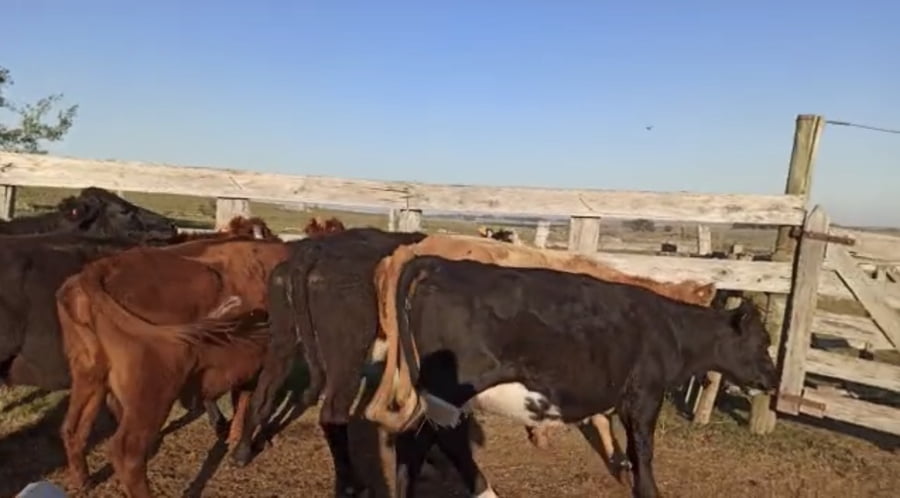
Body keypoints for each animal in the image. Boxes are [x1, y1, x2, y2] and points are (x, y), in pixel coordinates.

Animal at [55, 235, 290, 498]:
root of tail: (97, 269)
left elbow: (243, 398)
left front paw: (233, 436)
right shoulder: (277, 358)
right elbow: (258, 403)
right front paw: (244, 449)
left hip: (90, 376)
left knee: (73, 429)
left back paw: (83, 482)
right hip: (155, 388)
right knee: (127, 451)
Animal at [376, 255, 778, 498]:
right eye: (763, 341)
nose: (773, 381)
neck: (668, 328)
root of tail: (442, 264)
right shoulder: (645, 396)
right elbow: (644, 449)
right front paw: (648, 489)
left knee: (413, 442)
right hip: (452, 391)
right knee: (450, 443)